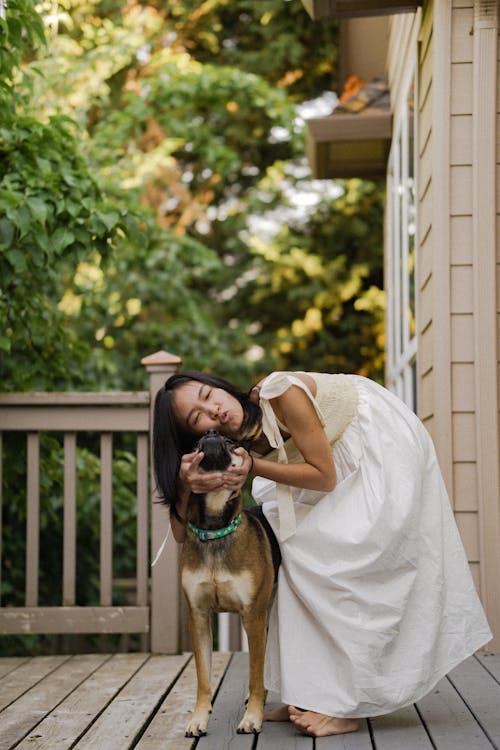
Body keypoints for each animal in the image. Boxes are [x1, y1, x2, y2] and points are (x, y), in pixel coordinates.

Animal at [182, 432, 280, 736]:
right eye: (196, 443)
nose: (210, 433)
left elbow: (254, 674)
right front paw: (198, 719)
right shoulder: (199, 617)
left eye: (230, 441)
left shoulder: (252, 616)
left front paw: (252, 718)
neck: (215, 529)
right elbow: (203, 679)